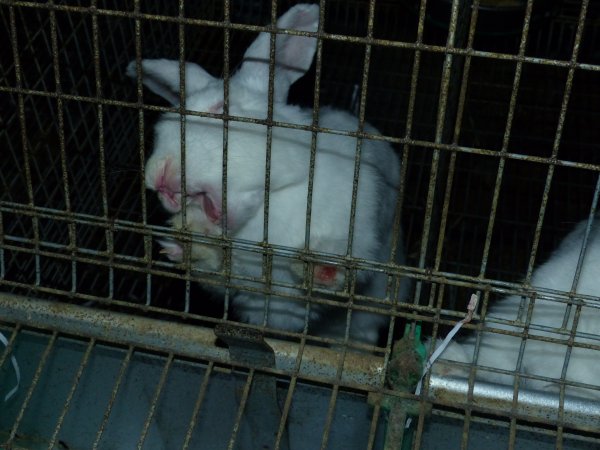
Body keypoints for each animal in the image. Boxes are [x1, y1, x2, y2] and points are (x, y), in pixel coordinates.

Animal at [127, 3, 408, 342]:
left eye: (221, 109)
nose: (156, 174)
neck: (265, 209)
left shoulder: (358, 226)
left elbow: (342, 265)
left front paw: (322, 268)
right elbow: (215, 270)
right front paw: (189, 246)